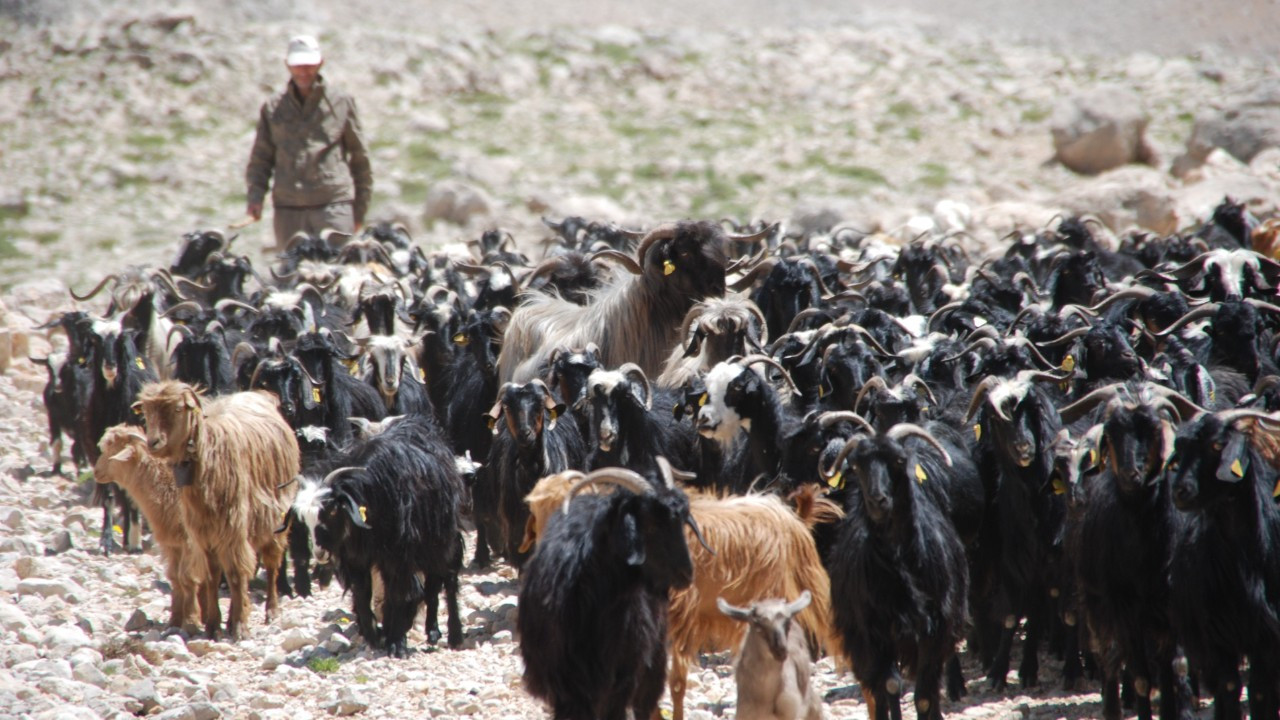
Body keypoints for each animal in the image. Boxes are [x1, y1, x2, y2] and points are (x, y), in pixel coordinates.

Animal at [94, 422, 202, 630]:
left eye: (112, 450)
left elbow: (187, 578)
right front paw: (175, 621)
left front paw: (192, 621)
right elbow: (175, 577)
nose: (96, 472)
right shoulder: (172, 543)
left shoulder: (191, 543)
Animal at [133, 379, 299, 635]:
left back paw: (271, 610)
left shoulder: (232, 527)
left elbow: (235, 574)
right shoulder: (204, 534)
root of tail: (262, 395)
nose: (154, 443)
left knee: (271, 563)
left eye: (178, 409)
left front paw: (240, 625)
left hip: (275, 515)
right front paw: (213, 625)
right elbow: (212, 575)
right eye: (147, 413)